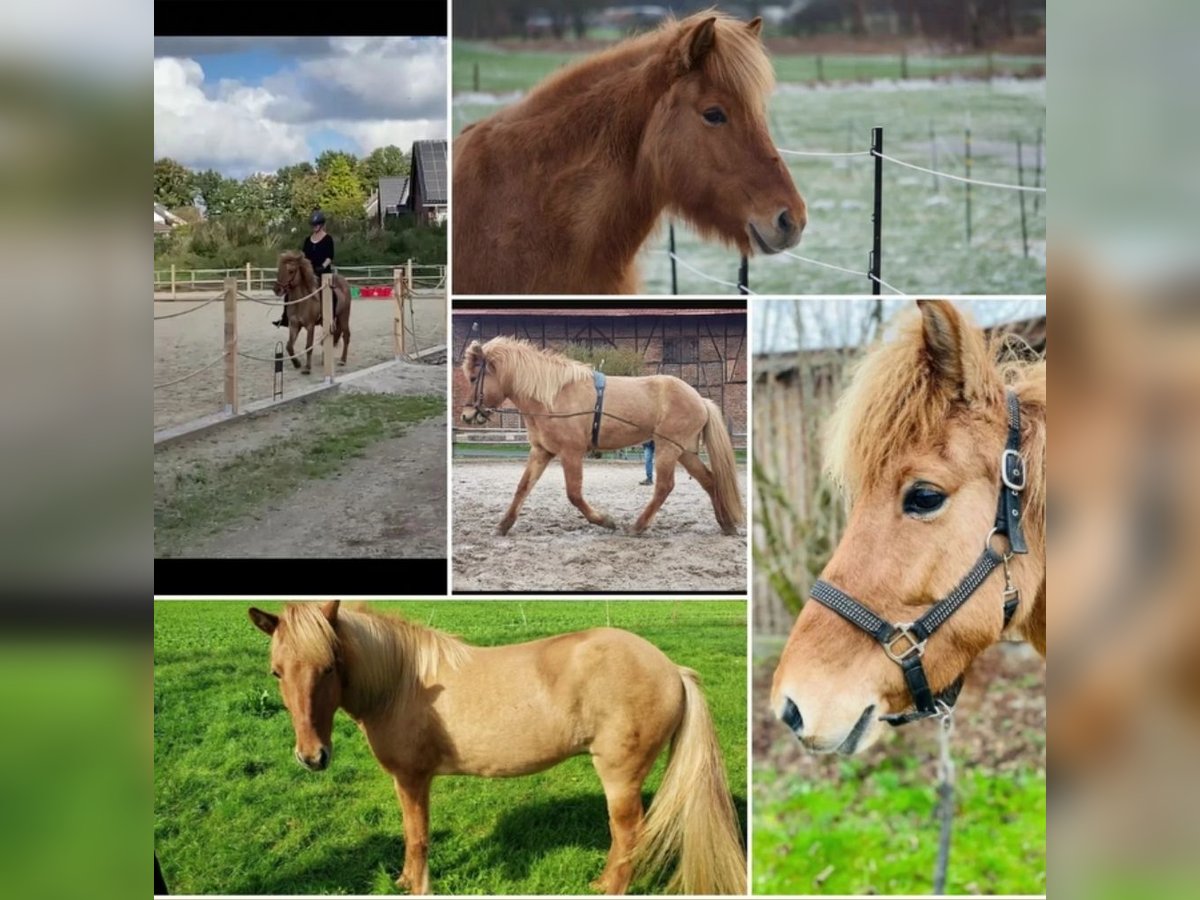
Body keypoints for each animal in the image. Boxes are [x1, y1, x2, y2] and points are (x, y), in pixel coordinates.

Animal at [248, 601, 746, 895]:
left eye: (329, 666)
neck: (402, 683)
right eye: (277, 672)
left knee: (626, 834)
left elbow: (418, 835)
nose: (312, 757)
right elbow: (410, 835)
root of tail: (671, 668)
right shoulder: (403, 781)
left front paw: (418, 886)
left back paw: (608, 887)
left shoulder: (414, 778)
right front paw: (405, 879)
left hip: (619, 777)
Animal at [460, 336, 743, 536]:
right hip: (683, 450)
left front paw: (605, 521)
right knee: (709, 480)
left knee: (665, 486)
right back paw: (726, 524)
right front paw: (503, 525)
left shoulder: (571, 453)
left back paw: (638, 526)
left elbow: (574, 494)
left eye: (473, 377)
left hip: (667, 449)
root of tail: (700, 399)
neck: (553, 396)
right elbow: (522, 488)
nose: (466, 415)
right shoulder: (542, 452)